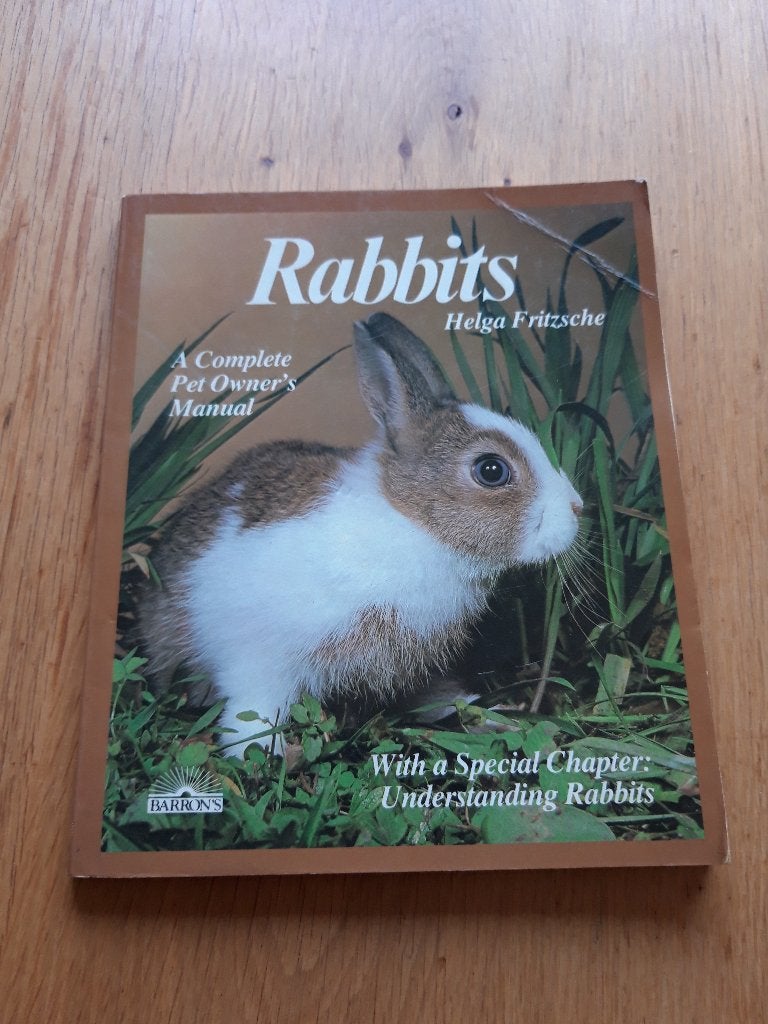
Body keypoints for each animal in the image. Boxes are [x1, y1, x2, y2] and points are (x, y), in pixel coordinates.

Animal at [139, 312, 583, 756]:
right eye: (491, 470)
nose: (578, 508)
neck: (412, 523)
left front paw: (482, 714)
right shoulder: (260, 660)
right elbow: (253, 712)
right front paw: (260, 756)